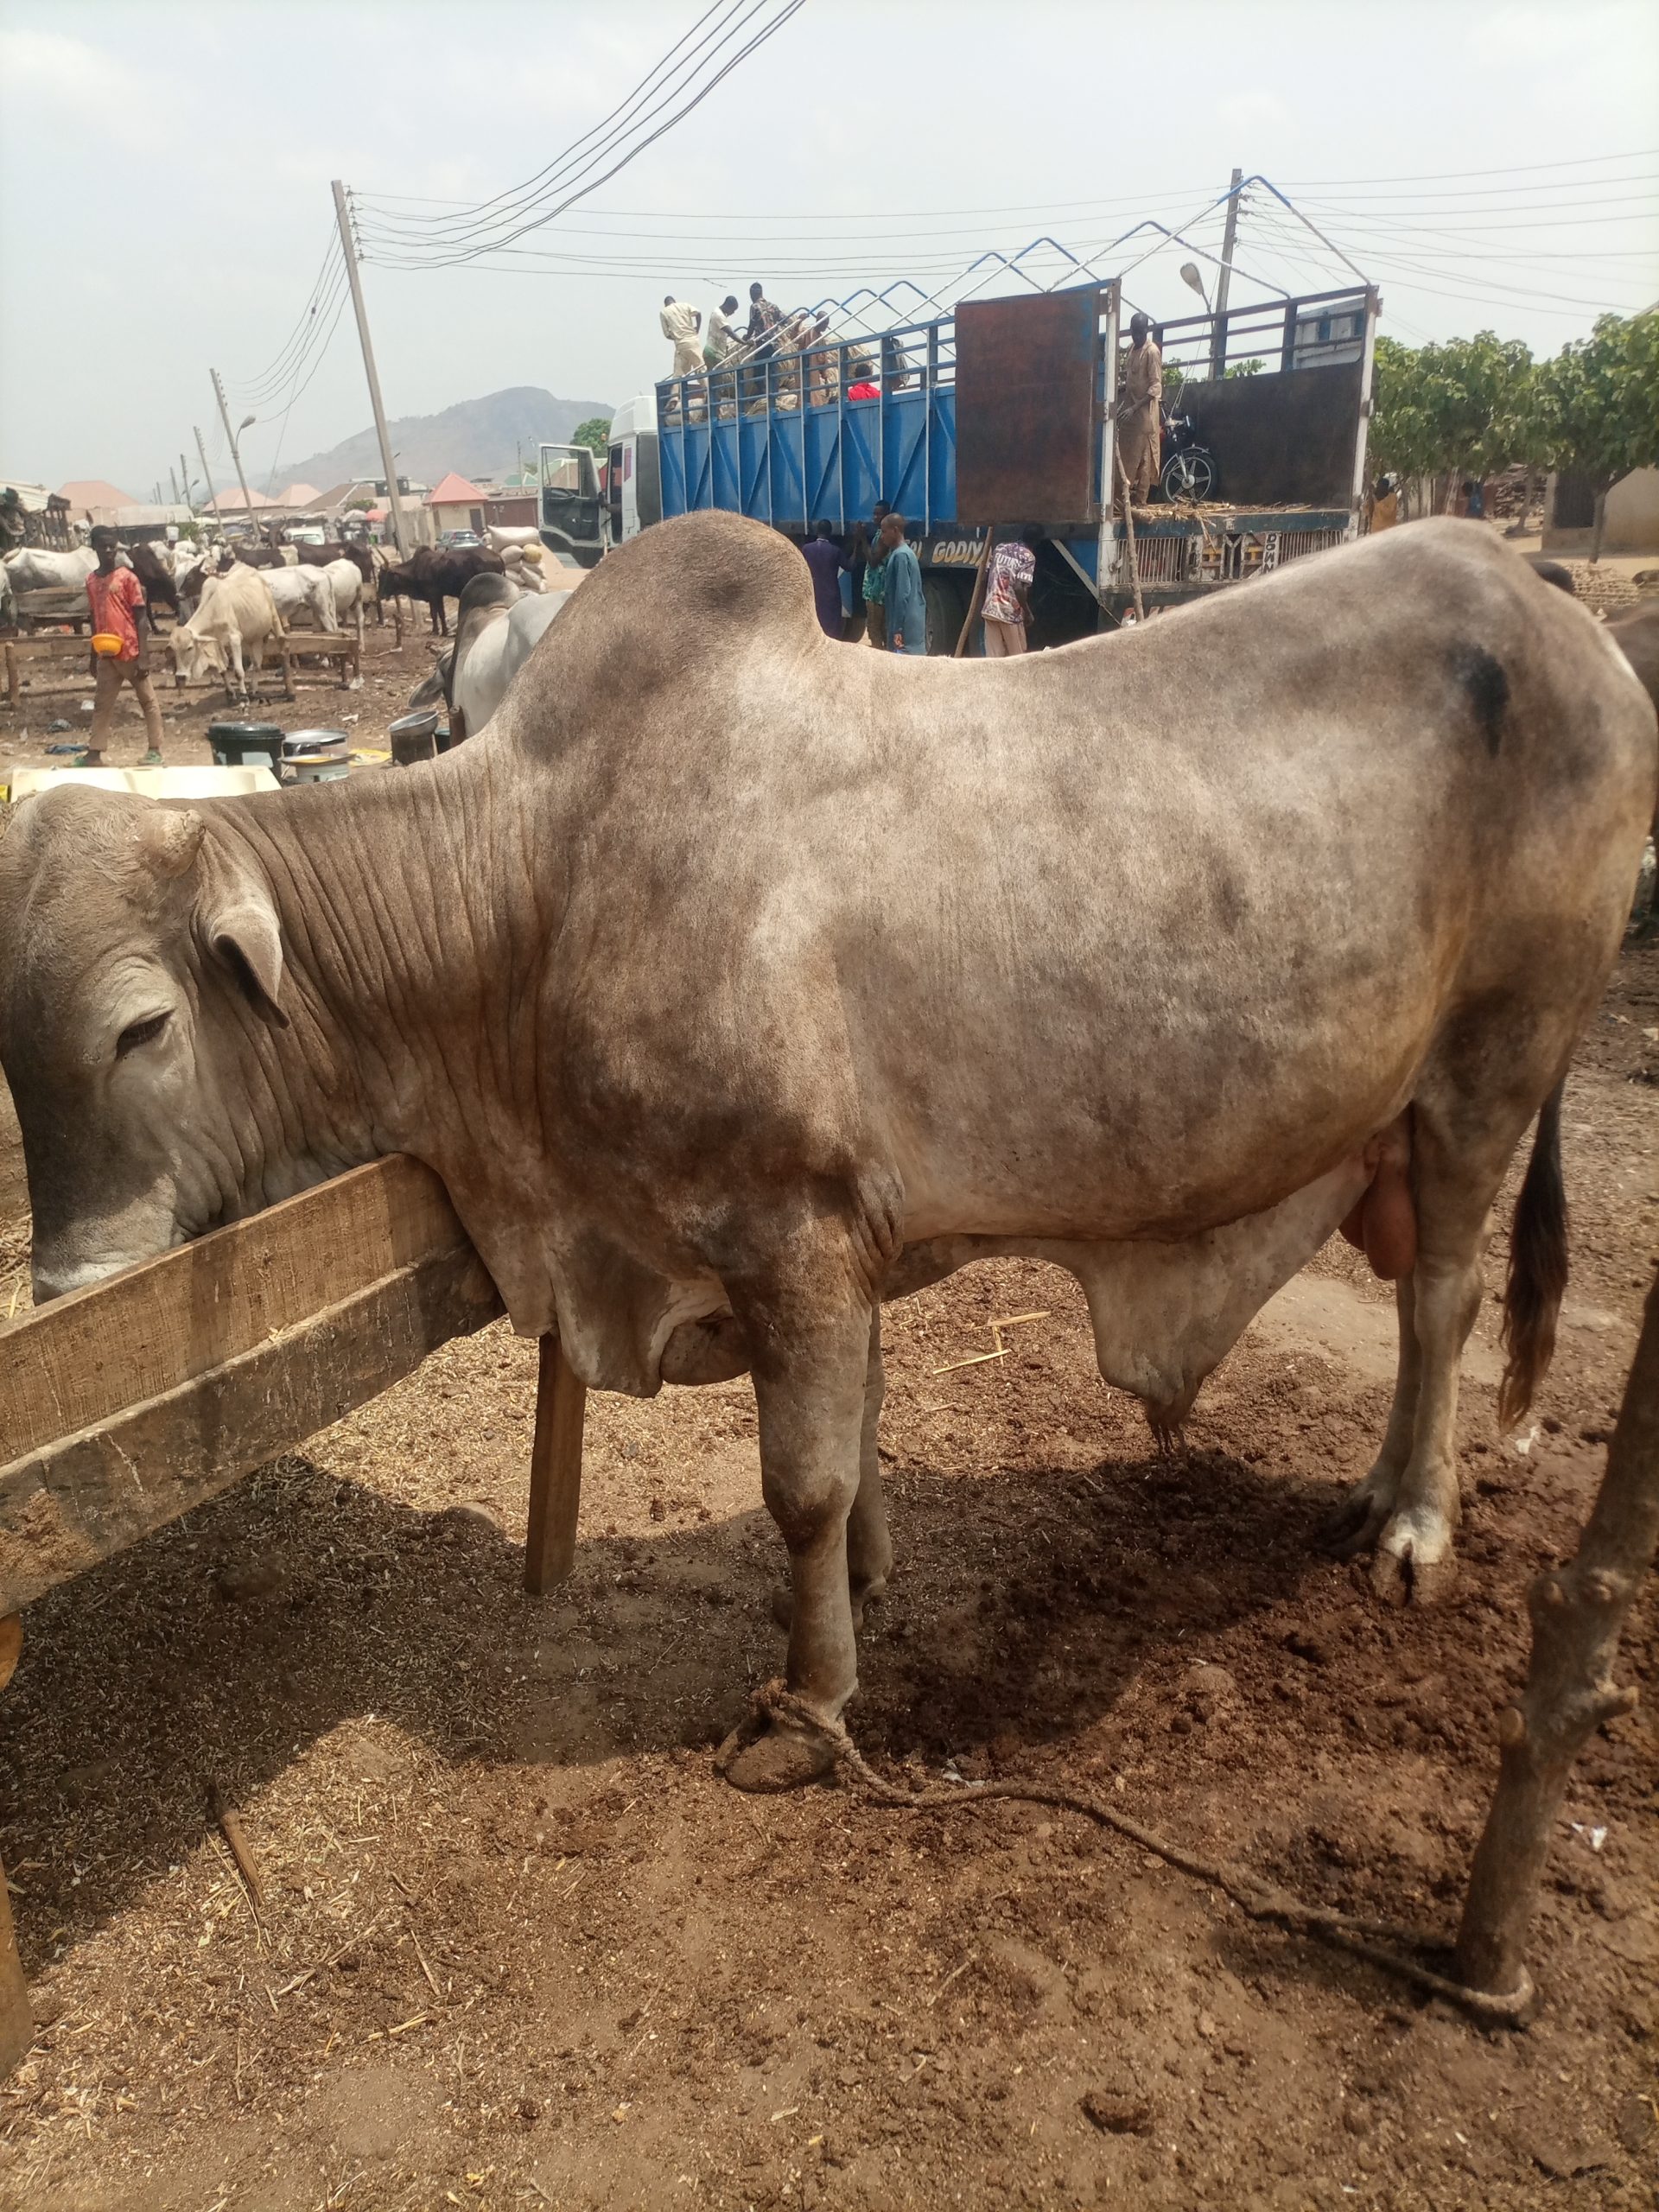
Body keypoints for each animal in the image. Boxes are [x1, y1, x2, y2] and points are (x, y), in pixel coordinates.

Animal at [164, 561, 283, 700]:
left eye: (189, 648)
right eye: (173, 650)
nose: (180, 677)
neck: (214, 608)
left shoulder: (235, 639)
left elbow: (238, 672)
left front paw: (243, 697)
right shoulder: (216, 642)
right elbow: (222, 669)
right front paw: (231, 693)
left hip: (274, 619)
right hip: (252, 637)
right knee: (257, 664)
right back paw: (254, 689)